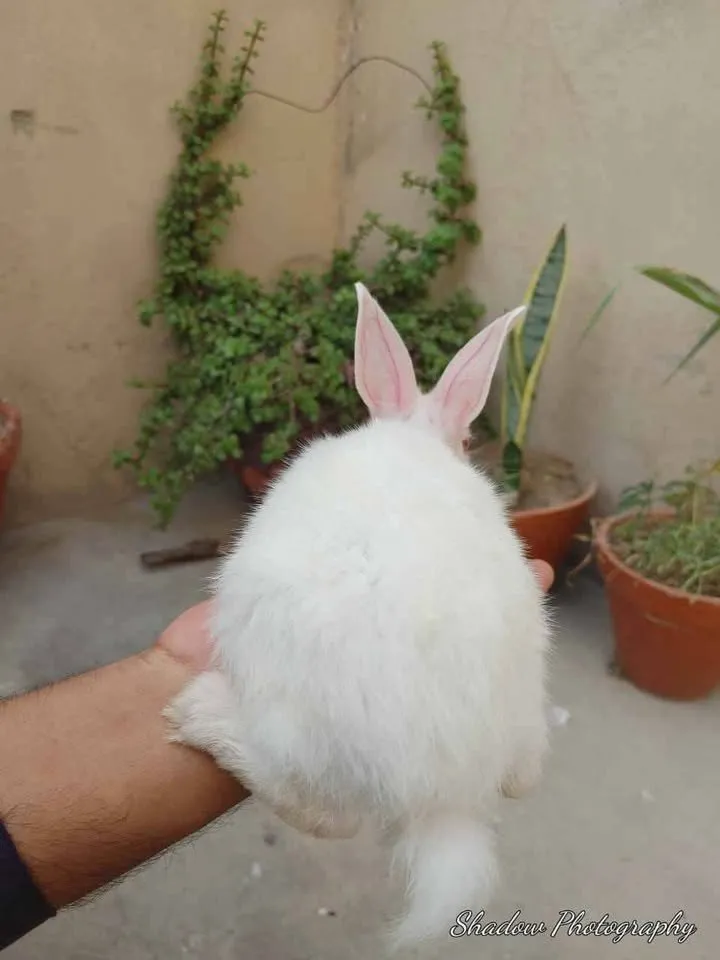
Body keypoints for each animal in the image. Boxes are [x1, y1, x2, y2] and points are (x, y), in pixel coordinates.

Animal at [164, 282, 552, 949]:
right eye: (469, 443)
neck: (414, 433)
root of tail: (448, 796)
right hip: (530, 686)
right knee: (526, 776)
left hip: (294, 725)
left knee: (324, 814)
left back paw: (202, 714)